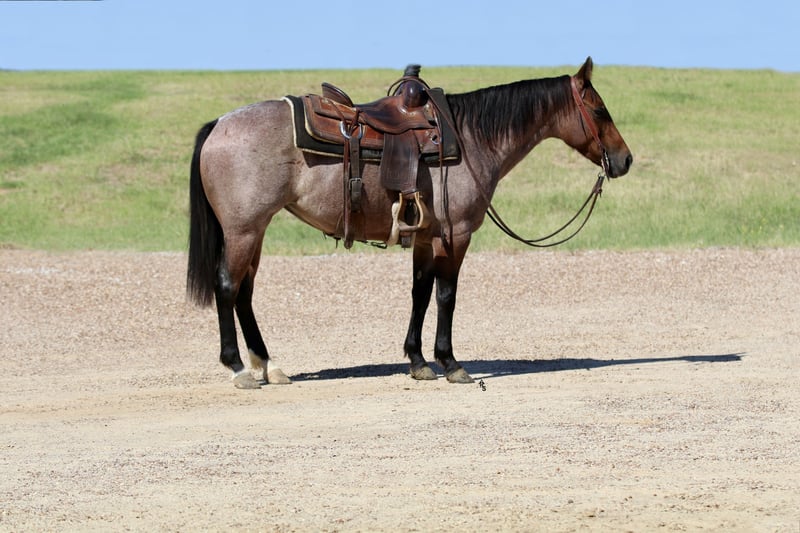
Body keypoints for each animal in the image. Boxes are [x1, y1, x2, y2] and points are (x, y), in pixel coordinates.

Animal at [187, 57, 632, 389]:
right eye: (599, 110)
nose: (624, 159)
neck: (469, 139)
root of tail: (219, 124)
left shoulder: (424, 237)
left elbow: (420, 293)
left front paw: (418, 361)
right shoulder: (455, 235)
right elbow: (447, 295)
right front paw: (450, 363)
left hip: (255, 232)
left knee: (244, 294)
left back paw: (268, 365)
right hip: (244, 230)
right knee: (227, 287)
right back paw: (239, 368)